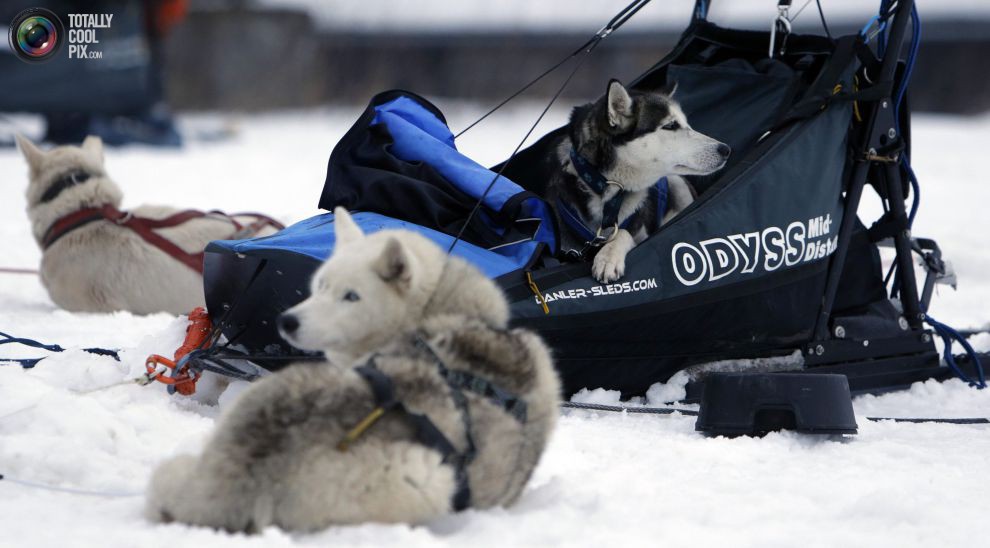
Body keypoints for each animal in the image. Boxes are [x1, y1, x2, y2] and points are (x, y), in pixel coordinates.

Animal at [552, 80, 728, 282]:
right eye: (671, 125)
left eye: (686, 124)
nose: (725, 149)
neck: (608, 190)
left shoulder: (639, 232)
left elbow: (623, 232)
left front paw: (607, 257)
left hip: (676, 183)